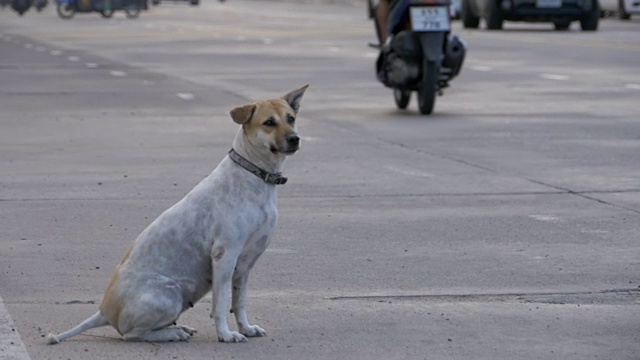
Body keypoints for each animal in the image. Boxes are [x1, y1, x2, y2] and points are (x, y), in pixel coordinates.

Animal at [46, 83, 308, 344]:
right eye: (269, 122)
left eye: (291, 118)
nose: (295, 139)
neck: (254, 175)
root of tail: (104, 311)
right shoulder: (225, 256)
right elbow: (221, 303)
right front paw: (225, 334)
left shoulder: (245, 263)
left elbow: (239, 302)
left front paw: (245, 328)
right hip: (170, 294)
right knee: (132, 335)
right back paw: (173, 333)